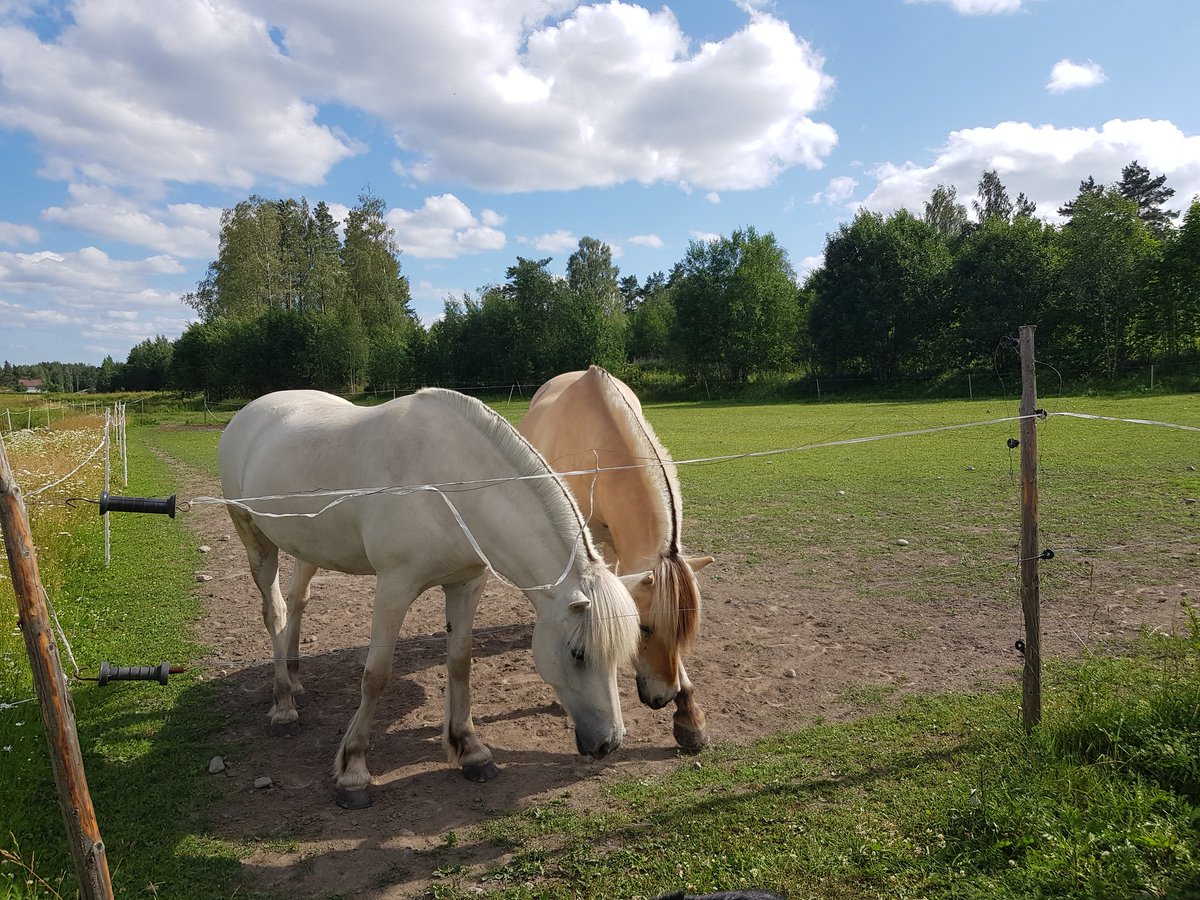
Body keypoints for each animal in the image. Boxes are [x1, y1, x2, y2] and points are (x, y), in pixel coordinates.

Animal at [217, 388, 643, 809]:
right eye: (578, 654)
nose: (608, 743)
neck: (449, 488)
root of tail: (251, 411)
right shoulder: (394, 587)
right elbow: (376, 674)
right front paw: (354, 772)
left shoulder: (466, 584)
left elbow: (459, 663)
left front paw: (471, 751)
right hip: (255, 540)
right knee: (275, 611)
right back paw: (284, 705)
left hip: (309, 547)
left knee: (297, 600)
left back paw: (295, 680)